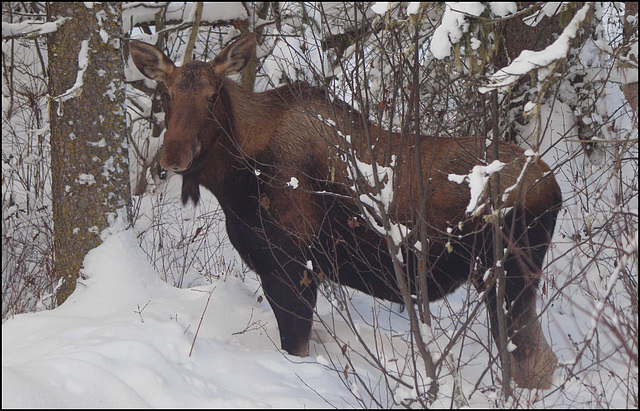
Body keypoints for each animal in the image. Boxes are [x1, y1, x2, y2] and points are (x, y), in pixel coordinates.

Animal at [130, 33, 560, 392]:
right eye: (166, 95)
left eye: (212, 95)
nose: (172, 156)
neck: (237, 176)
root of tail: (555, 189)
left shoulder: (292, 267)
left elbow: (295, 345)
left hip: (509, 277)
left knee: (532, 361)